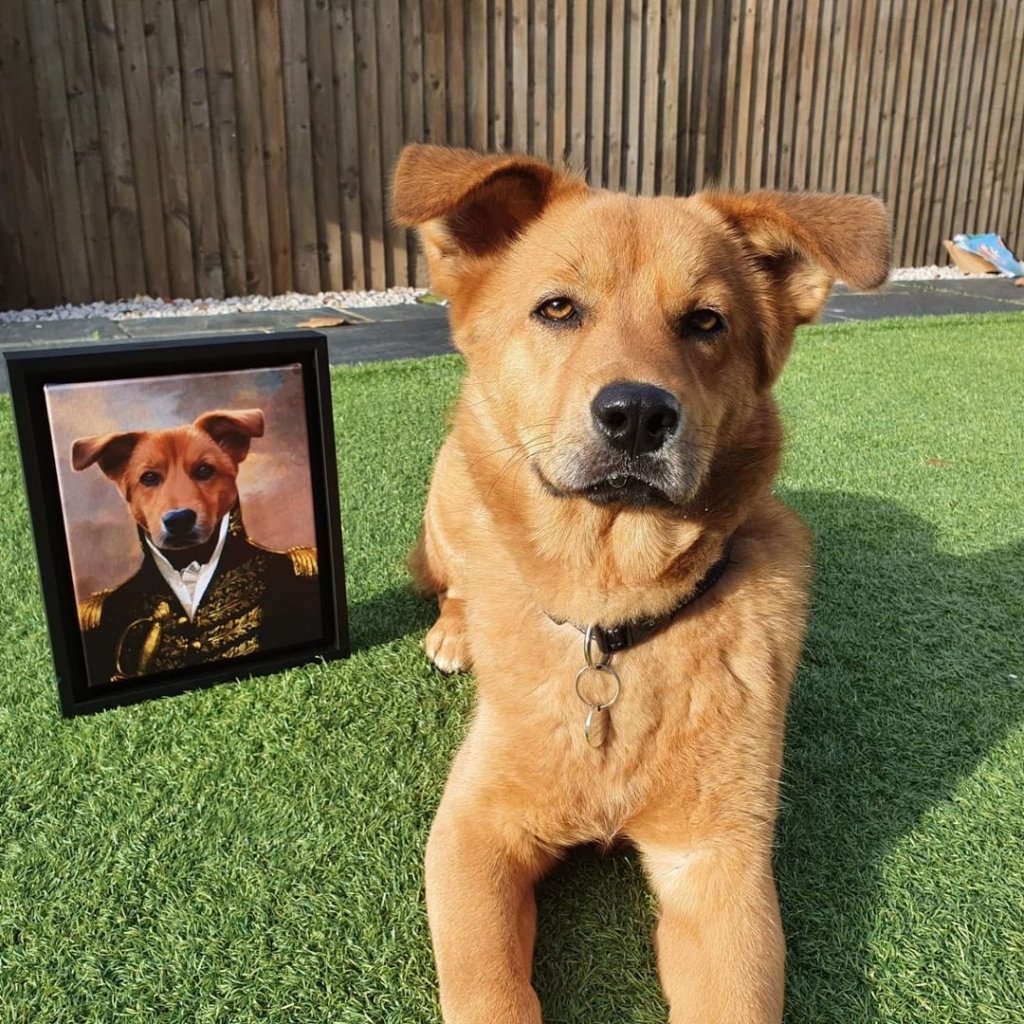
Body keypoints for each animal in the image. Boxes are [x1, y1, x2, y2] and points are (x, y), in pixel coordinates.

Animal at [391, 146, 888, 1024]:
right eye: (558, 308)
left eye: (706, 322)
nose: (637, 415)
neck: (611, 619)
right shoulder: (473, 831)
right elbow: (490, 991)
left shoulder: (720, 866)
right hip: (449, 501)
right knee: (453, 579)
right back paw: (455, 629)